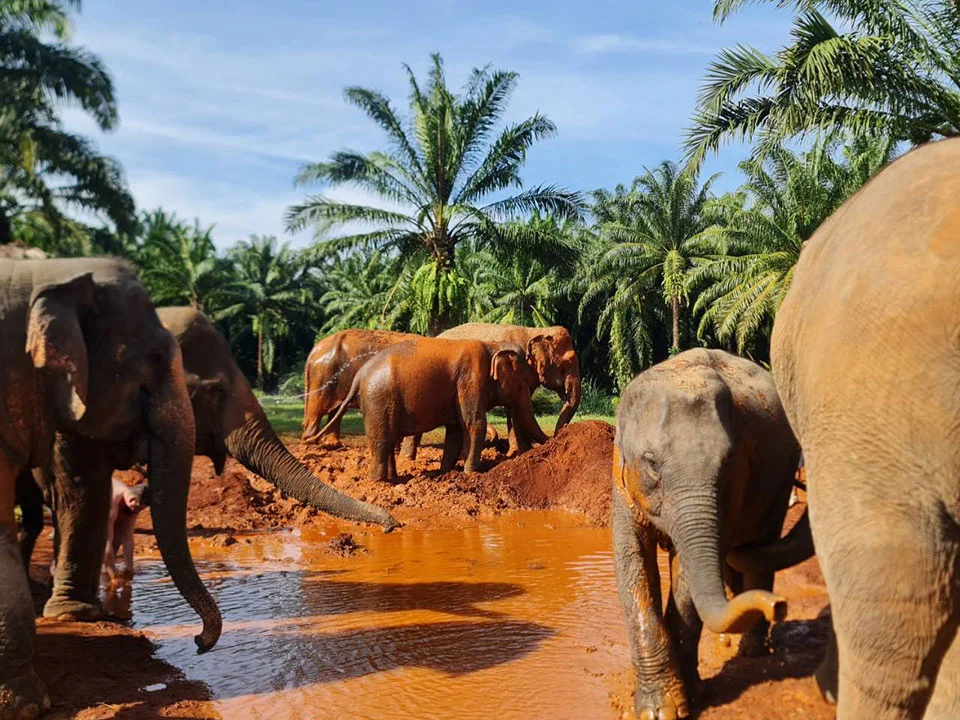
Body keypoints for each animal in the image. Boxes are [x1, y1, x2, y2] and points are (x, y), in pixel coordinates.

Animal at [318, 337, 547, 481]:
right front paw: (471, 473)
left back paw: (393, 478)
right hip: (379, 401)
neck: (493, 344)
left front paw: (445, 473)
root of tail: (359, 375)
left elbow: (455, 430)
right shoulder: (471, 378)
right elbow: (474, 424)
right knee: (381, 441)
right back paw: (380, 482)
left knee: (389, 440)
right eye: (526, 383)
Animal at [612, 348, 799, 720]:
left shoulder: (737, 482)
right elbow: (632, 560)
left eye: (727, 463)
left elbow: (685, 575)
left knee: (760, 547)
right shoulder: (620, 478)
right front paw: (659, 710)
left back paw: (751, 650)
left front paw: (689, 698)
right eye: (652, 463)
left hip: (782, 477)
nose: (780, 606)